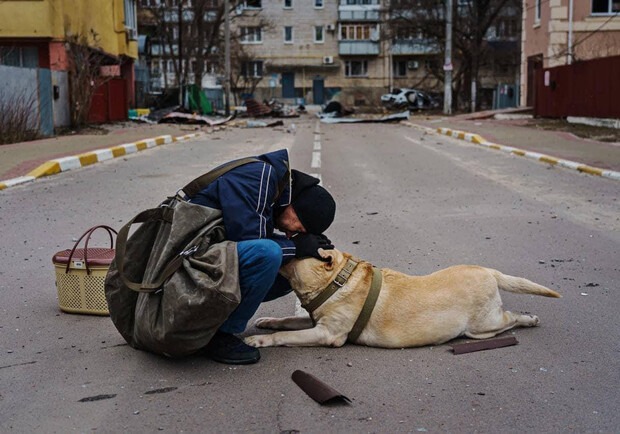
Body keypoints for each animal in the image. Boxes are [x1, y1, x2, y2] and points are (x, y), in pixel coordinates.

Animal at [245, 249, 560, 348]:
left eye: (296, 248)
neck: (335, 282)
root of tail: (489, 271)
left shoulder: (326, 334)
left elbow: (286, 336)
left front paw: (260, 340)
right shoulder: (314, 322)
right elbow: (286, 321)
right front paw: (267, 321)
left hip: (482, 326)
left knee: (510, 319)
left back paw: (529, 319)